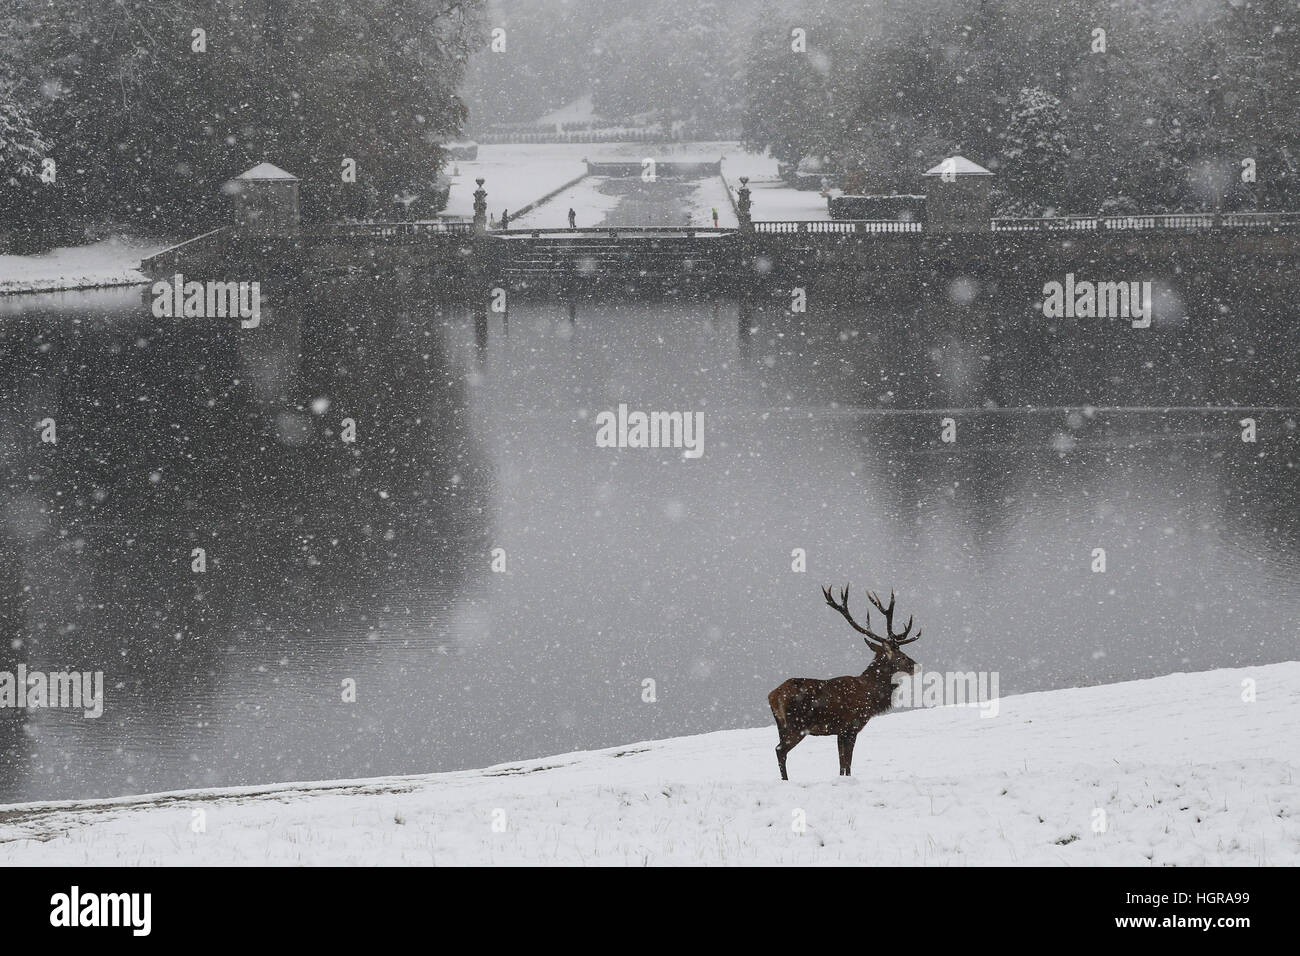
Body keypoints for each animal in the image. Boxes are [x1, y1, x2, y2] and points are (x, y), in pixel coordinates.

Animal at [768, 585, 923, 780]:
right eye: (901, 656)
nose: (917, 665)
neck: (870, 696)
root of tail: (772, 695)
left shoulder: (839, 731)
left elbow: (841, 763)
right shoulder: (851, 726)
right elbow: (848, 762)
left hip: (781, 726)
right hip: (797, 725)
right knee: (780, 750)